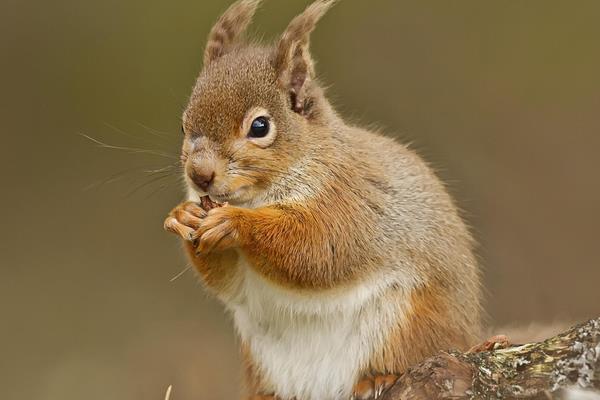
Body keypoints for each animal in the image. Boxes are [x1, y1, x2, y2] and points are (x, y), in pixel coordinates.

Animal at [164, 0, 482, 400]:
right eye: (182, 125)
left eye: (260, 127)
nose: (199, 176)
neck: (256, 197)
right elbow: (228, 282)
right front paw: (182, 216)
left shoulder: (347, 201)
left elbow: (317, 250)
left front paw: (235, 223)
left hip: (407, 325)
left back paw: (377, 379)